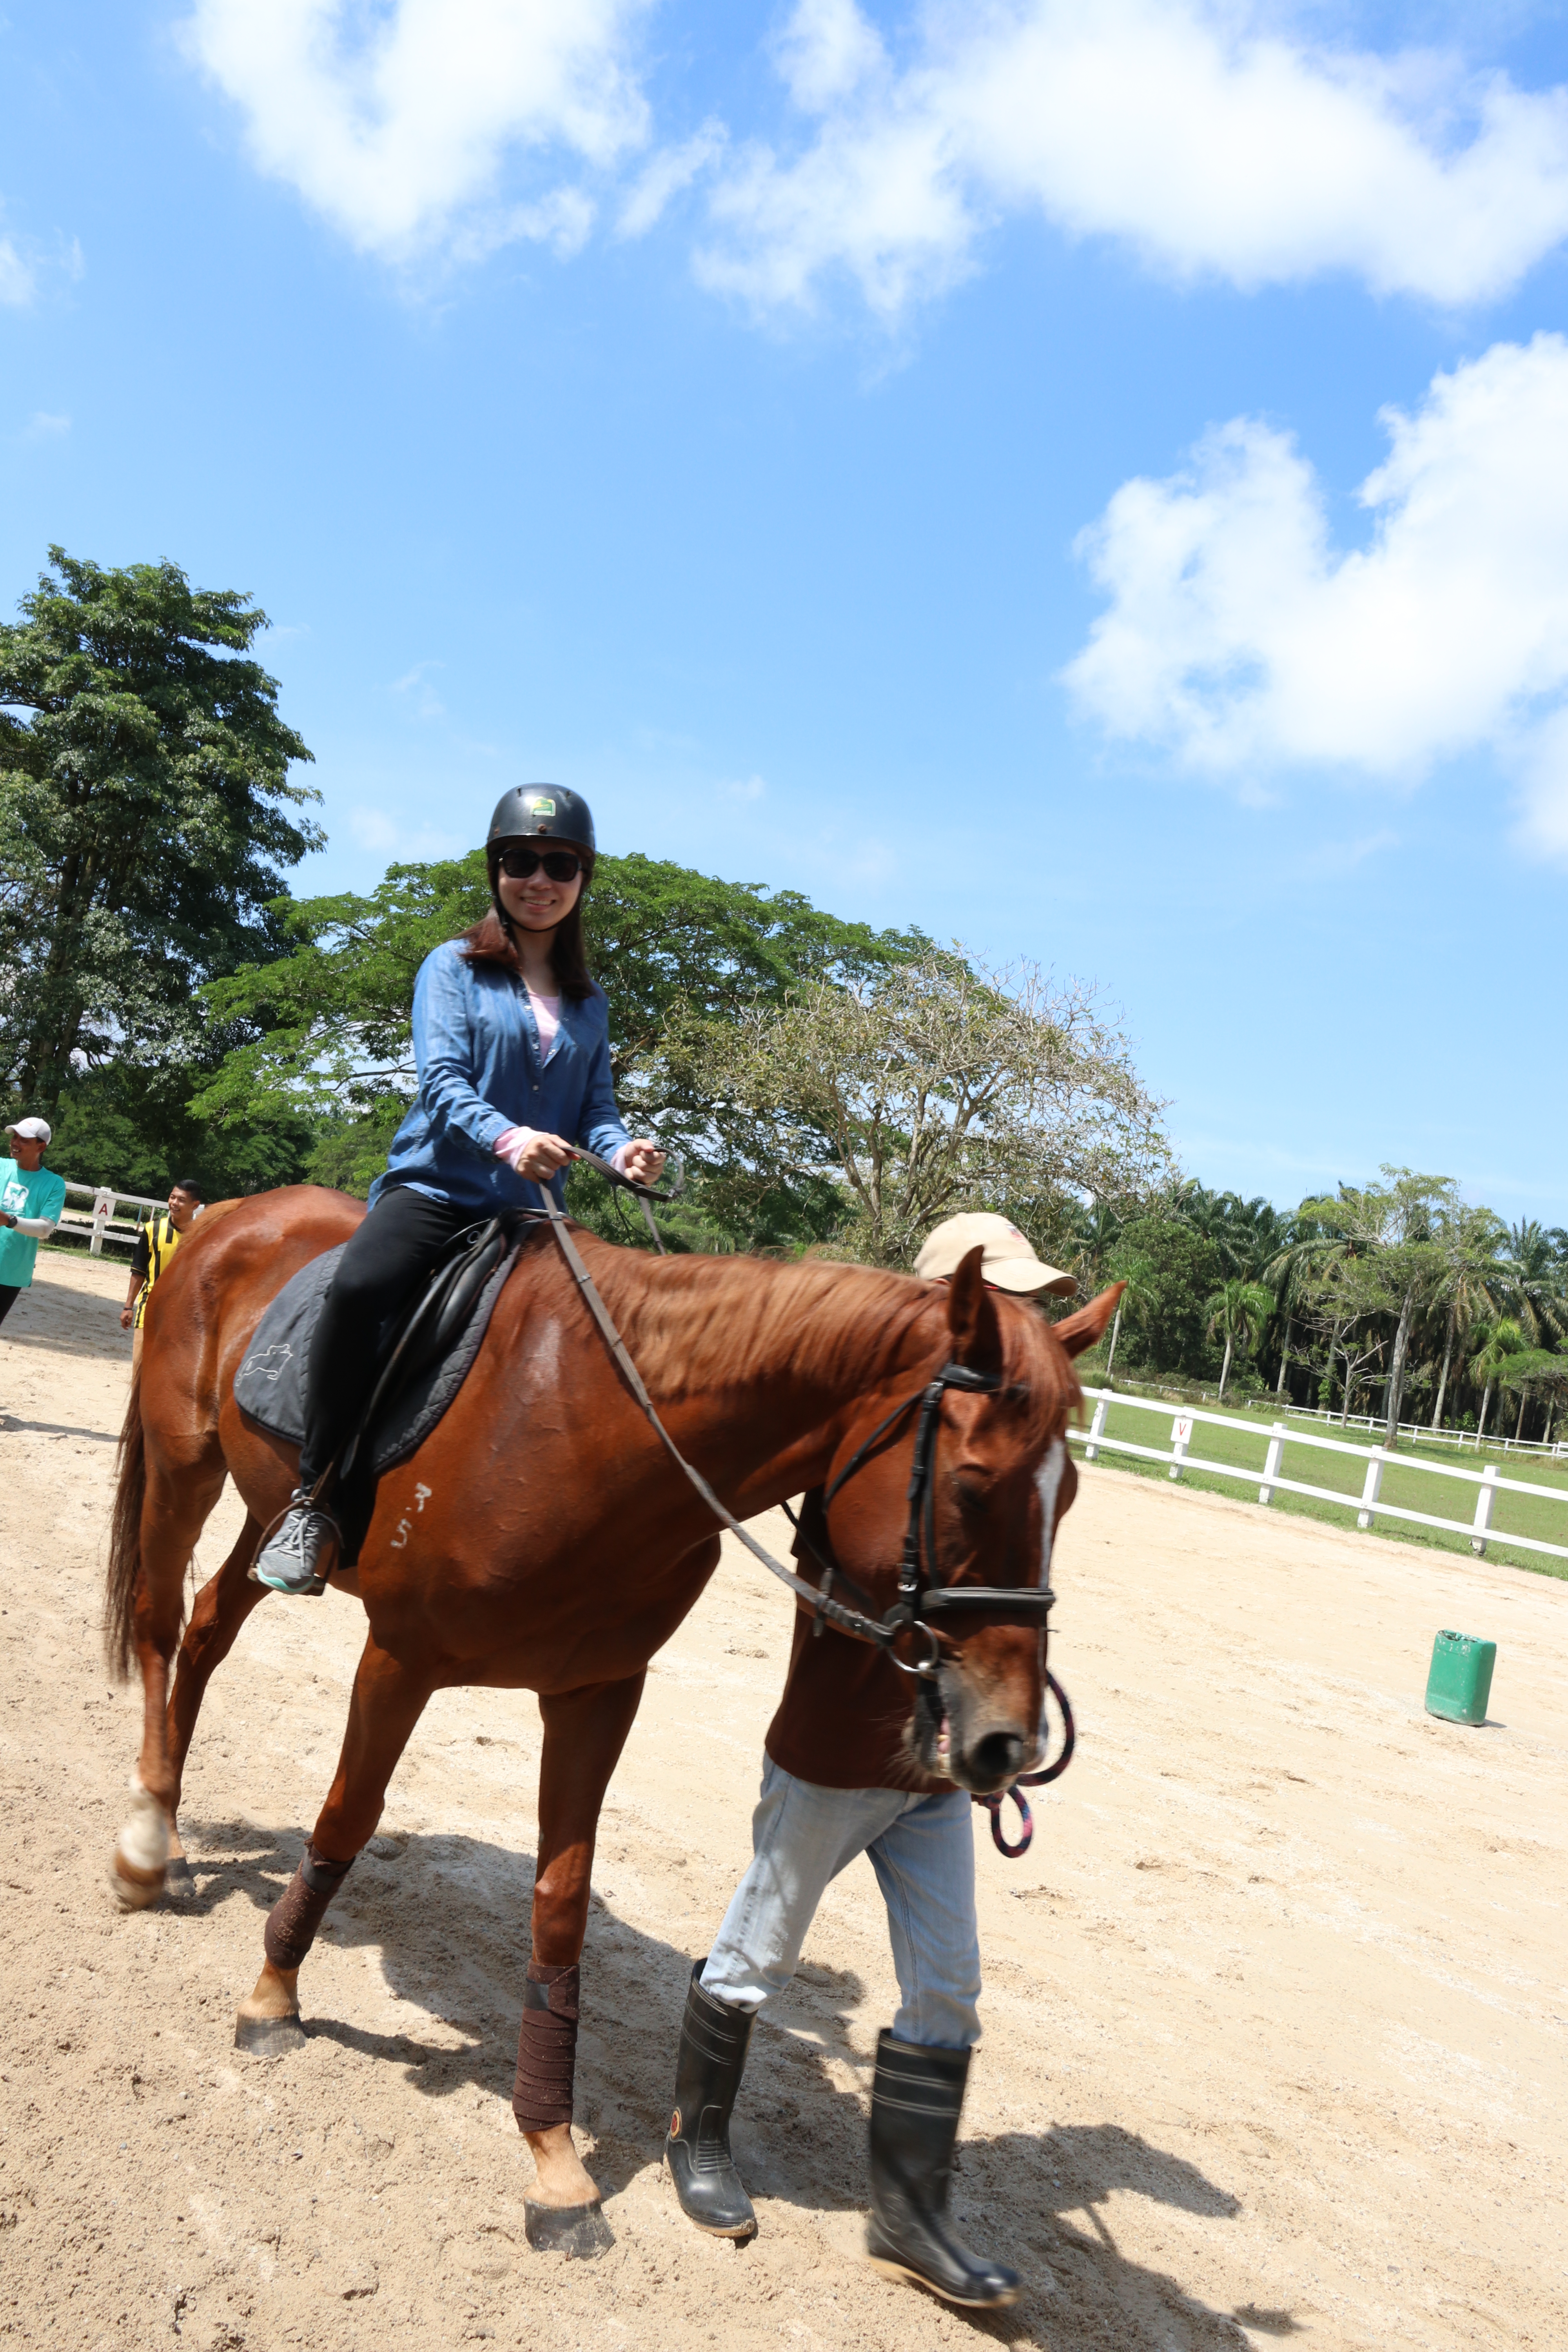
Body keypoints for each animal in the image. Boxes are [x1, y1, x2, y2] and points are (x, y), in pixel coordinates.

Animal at [103, 1185, 1118, 2245]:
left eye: (1068, 1497)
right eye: (970, 1485)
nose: (1007, 1741)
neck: (593, 1430)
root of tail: (231, 1214)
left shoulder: (596, 1693)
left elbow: (561, 1903)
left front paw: (552, 2153)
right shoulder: (400, 1659)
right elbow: (346, 1819)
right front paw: (272, 1997)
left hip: (266, 1510)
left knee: (208, 1631)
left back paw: (168, 1828)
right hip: (186, 1465)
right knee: (161, 1626)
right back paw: (142, 1847)